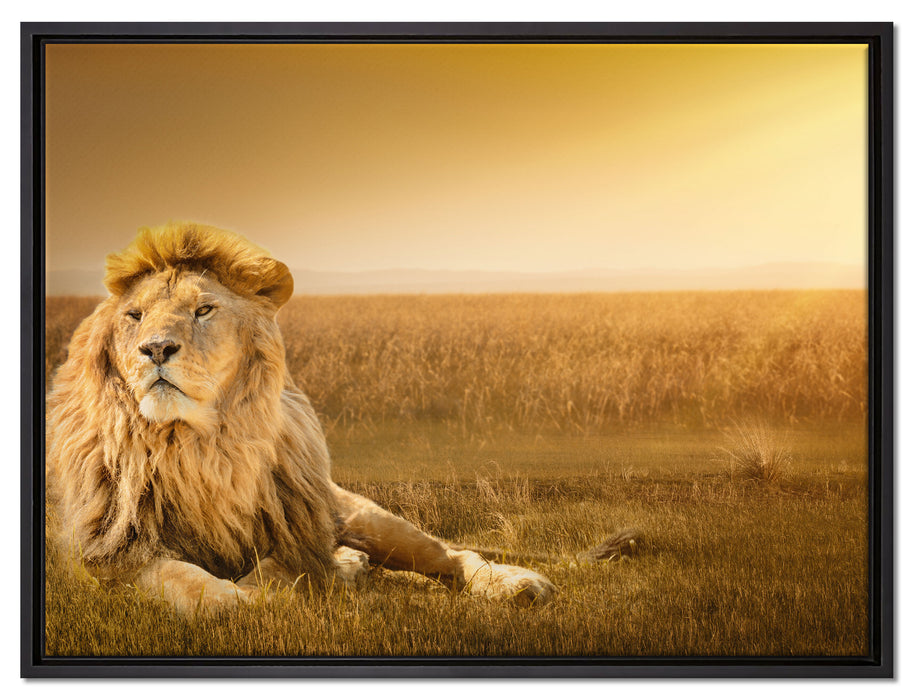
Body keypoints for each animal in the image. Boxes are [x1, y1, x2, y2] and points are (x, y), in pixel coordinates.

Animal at [46, 222, 633, 614]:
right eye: (134, 316)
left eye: (204, 310)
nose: (155, 349)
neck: (198, 446)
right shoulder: (107, 554)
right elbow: (195, 586)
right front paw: (256, 596)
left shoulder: (296, 528)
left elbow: (276, 570)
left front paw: (312, 577)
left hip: (363, 516)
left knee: (451, 555)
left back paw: (513, 583)